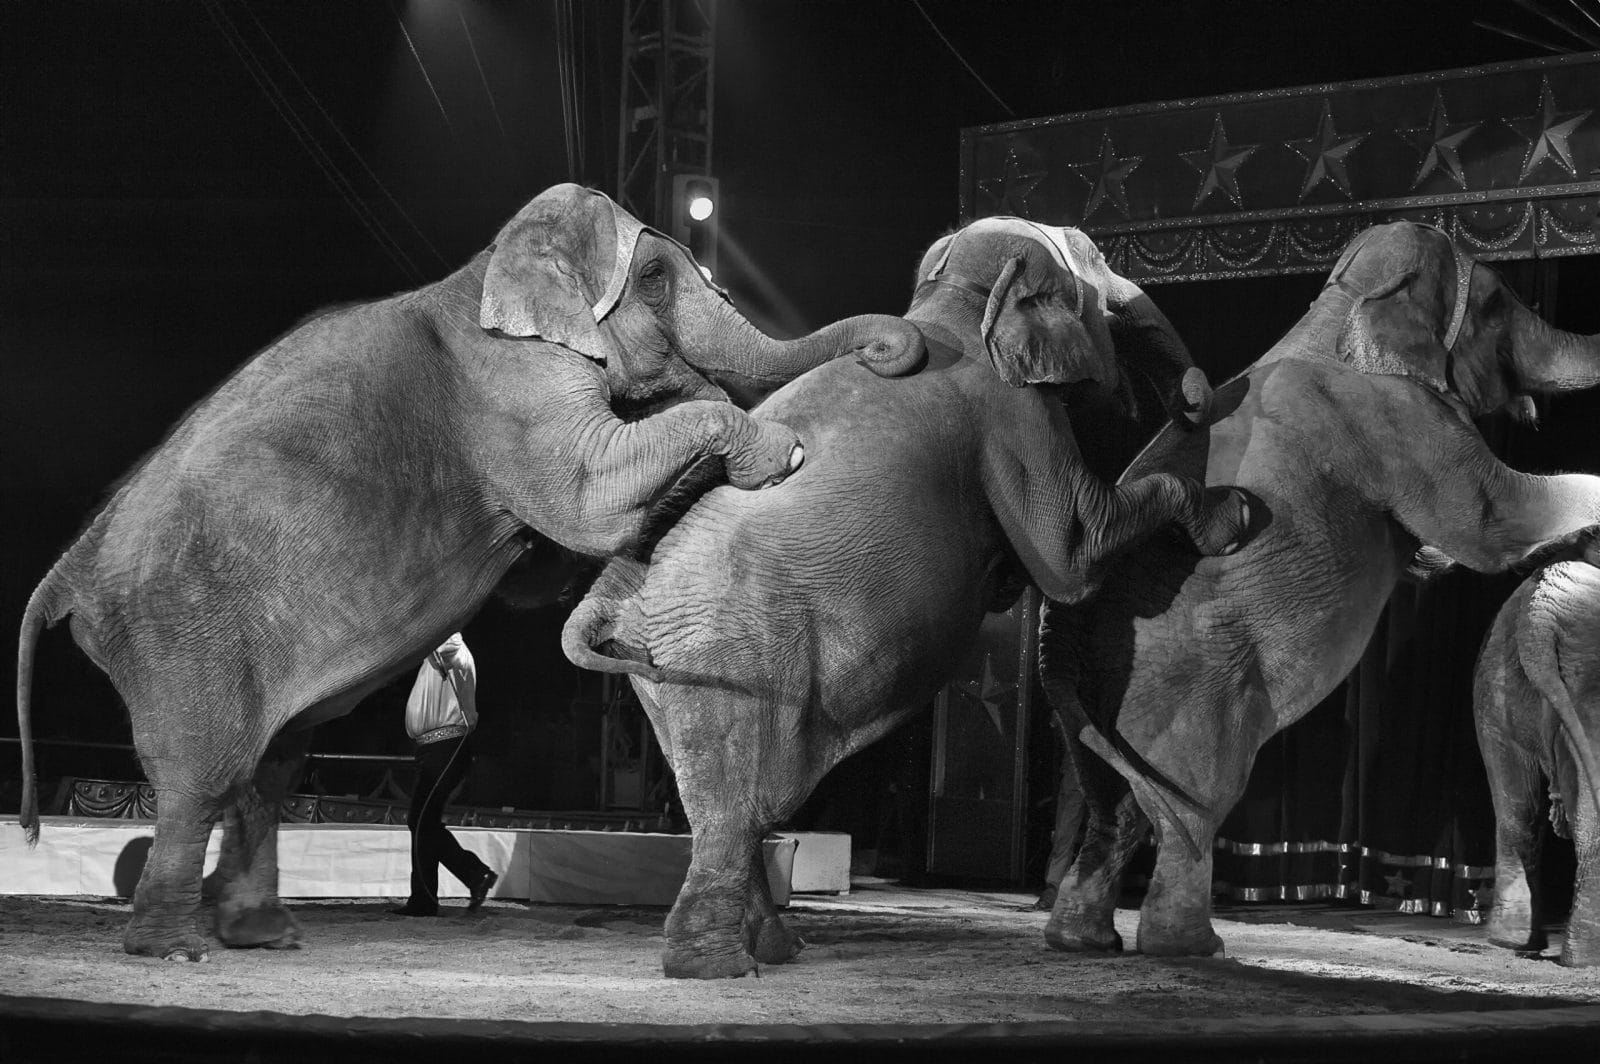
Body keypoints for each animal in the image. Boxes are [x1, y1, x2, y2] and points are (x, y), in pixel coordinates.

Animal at [13, 182, 924, 962]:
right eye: (657, 279)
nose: (893, 352)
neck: (490, 265)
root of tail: (67, 569)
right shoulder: (508, 386)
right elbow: (585, 502)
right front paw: (781, 453)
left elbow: (545, 565)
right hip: (177, 631)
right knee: (202, 775)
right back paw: (175, 948)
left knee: (270, 771)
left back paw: (264, 937)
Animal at [562, 215, 1253, 978]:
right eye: (1098, 257)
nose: (1196, 395)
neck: (954, 302)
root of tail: (614, 600)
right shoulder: (1014, 413)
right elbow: (1072, 554)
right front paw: (1235, 516)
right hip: (734, 651)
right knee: (736, 805)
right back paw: (716, 966)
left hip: (663, 672)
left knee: (722, 804)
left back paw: (775, 949)